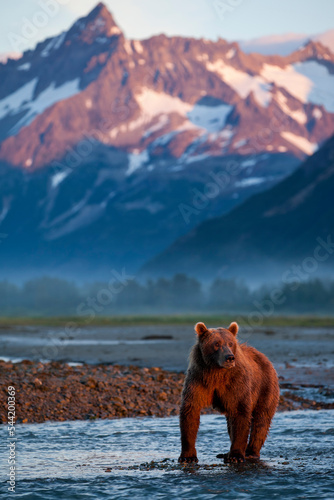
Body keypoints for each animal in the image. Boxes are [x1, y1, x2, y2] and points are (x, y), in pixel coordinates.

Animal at [180, 322, 280, 462]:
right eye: (216, 343)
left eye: (230, 343)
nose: (230, 357)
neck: (216, 373)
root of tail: (264, 357)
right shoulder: (198, 380)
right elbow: (191, 410)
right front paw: (188, 456)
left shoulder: (236, 383)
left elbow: (240, 413)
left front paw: (236, 456)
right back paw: (226, 453)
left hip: (265, 387)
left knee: (261, 419)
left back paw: (251, 452)